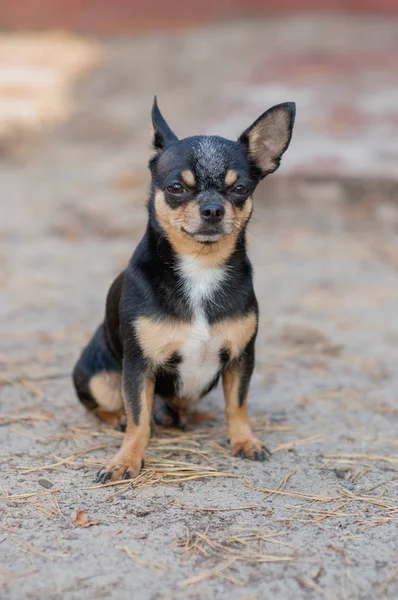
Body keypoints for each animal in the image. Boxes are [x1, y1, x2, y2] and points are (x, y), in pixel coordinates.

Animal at [73, 97, 294, 482]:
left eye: (240, 189)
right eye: (177, 188)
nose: (212, 209)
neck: (200, 268)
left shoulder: (241, 358)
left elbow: (238, 404)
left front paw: (244, 440)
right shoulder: (139, 367)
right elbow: (139, 419)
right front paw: (126, 460)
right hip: (98, 376)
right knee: (110, 407)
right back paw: (118, 419)